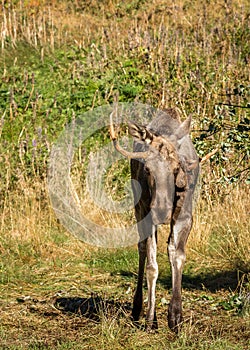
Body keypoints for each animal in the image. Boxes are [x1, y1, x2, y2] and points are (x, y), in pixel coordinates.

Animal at [110, 108, 201, 332]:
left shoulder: (185, 215)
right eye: (147, 169)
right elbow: (152, 266)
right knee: (142, 249)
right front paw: (152, 318)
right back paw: (137, 309)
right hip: (139, 209)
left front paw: (175, 316)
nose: (161, 213)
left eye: (176, 168)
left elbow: (177, 255)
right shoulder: (146, 213)